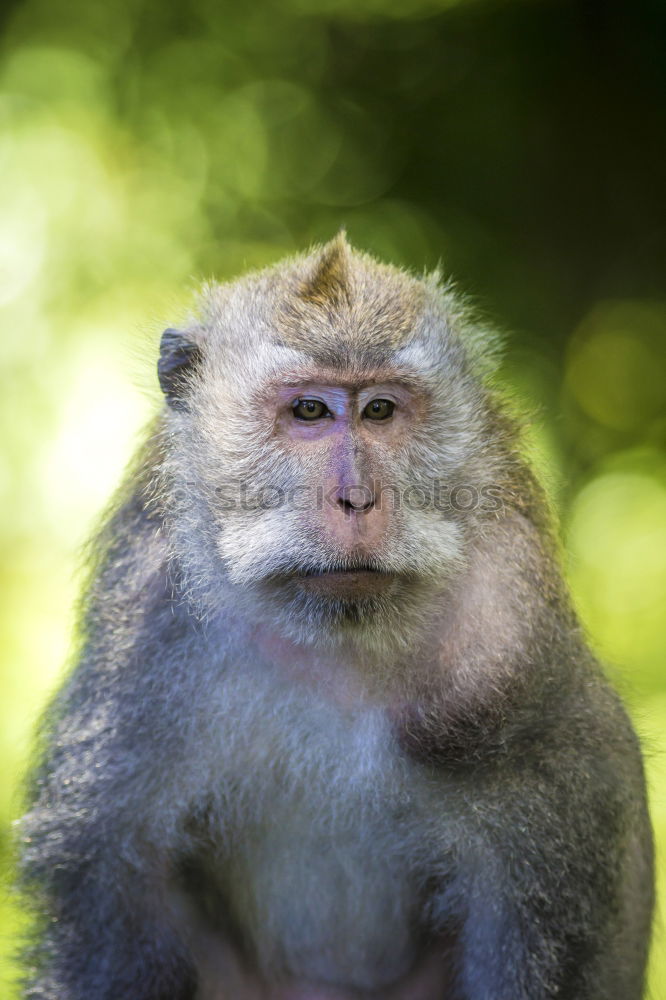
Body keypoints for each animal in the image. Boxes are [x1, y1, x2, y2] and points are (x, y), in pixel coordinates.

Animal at [18, 236, 652, 1000]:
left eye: (379, 410)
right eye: (310, 411)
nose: (356, 498)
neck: (335, 640)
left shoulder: (516, 650)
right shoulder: (144, 621)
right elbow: (119, 902)